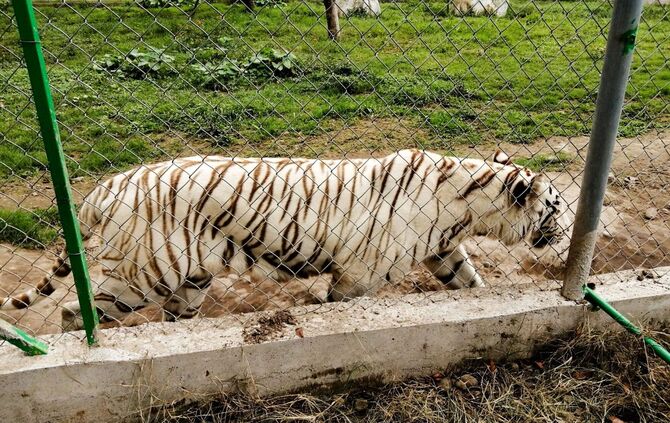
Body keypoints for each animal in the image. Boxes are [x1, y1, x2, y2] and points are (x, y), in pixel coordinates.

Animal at [0, 149, 567, 330]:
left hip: (189, 279)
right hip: (143, 274)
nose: (565, 232)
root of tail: (108, 185)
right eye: (557, 207)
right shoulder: (359, 274)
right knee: (74, 312)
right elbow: (340, 305)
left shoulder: (444, 250)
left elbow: (470, 284)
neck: (467, 206)